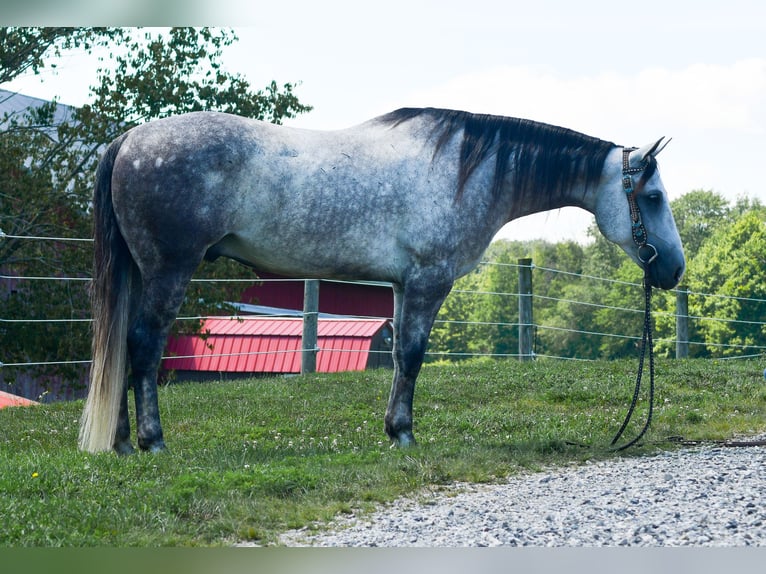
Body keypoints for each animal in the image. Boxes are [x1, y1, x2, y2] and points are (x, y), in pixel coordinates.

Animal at [78, 107, 685, 454]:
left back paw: (122, 443)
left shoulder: (399, 286)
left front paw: (393, 429)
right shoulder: (427, 283)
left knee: (128, 347)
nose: (674, 269)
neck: (464, 170)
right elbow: (412, 356)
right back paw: (152, 443)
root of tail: (129, 141)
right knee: (144, 347)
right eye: (653, 197)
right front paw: (404, 434)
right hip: (169, 270)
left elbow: (397, 358)